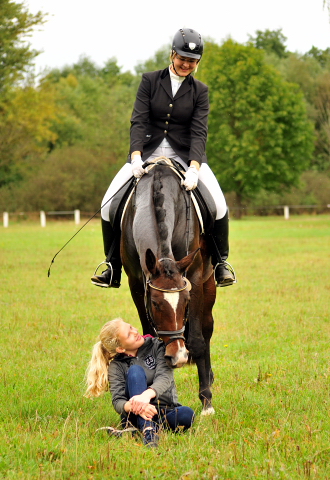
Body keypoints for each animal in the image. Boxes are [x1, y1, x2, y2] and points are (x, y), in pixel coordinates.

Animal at [121, 159, 217, 414]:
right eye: (155, 304)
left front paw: (206, 402)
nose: (178, 356)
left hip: (209, 284)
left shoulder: (193, 278)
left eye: (186, 302)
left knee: (207, 329)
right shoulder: (136, 283)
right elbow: (148, 334)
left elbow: (197, 340)